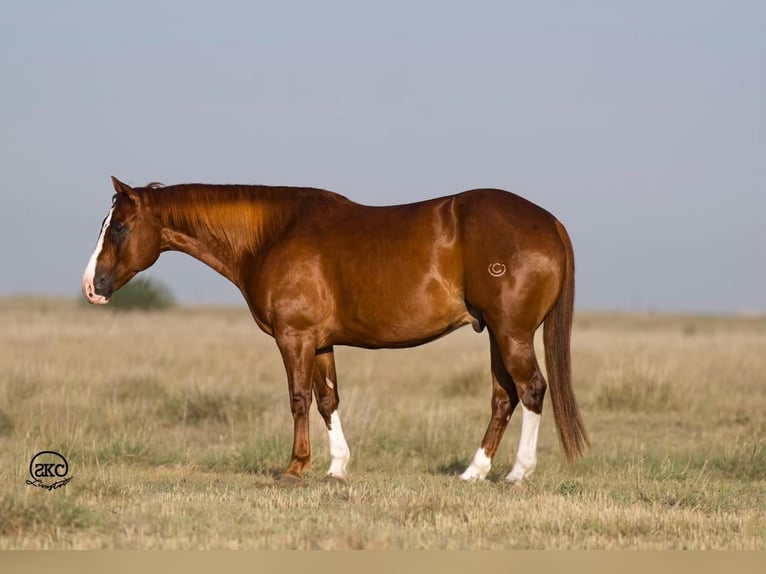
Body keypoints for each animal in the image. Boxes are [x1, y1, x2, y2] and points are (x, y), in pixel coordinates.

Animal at [82, 178, 588, 484]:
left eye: (120, 227)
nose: (92, 287)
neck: (273, 235)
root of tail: (549, 221)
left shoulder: (295, 337)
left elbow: (298, 398)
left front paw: (295, 468)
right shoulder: (321, 341)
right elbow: (328, 399)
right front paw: (337, 468)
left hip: (511, 333)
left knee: (532, 389)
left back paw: (518, 473)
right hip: (497, 335)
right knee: (504, 397)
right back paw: (473, 472)